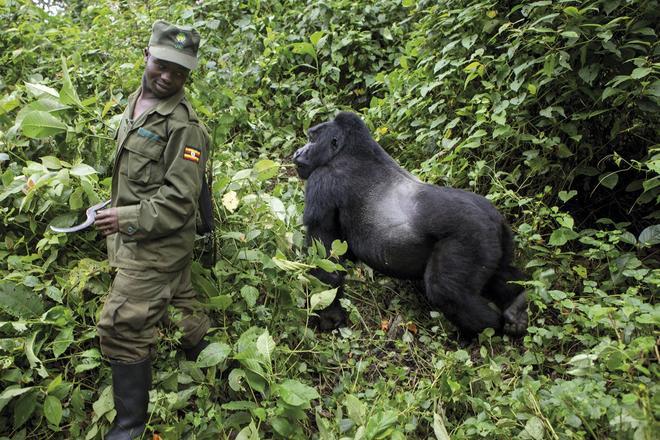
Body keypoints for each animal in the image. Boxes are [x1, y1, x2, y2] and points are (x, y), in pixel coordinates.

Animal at [292, 111, 524, 338]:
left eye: (312, 138)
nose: (297, 152)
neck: (345, 151)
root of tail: (494, 218)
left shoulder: (323, 181)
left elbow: (326, 259)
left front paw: (329, 317)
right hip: (495, 239)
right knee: (499, 274)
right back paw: (518, 304)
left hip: (472, 236)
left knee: (446, 291)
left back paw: (488, 328)